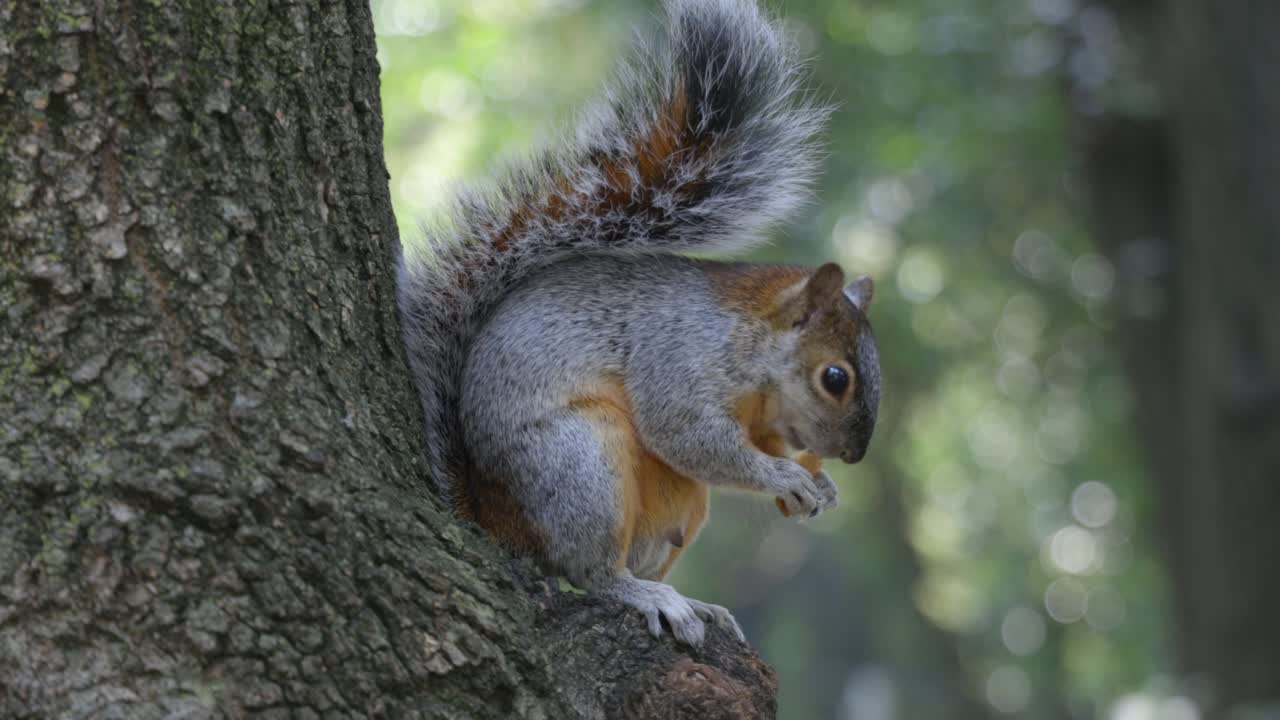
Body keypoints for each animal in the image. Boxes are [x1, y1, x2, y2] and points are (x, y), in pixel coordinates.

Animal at [397, 0, 881, 646]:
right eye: (834, 378)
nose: (851, 456)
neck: (750, 352)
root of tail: (494, 522)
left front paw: (819, 484)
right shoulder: (674, 356)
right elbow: (688, 434)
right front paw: (783, 476)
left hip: (678, 509)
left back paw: (691, 602)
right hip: (579, 466)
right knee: (591, 569)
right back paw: (642, 594)